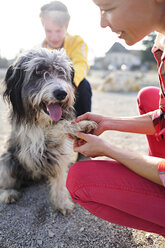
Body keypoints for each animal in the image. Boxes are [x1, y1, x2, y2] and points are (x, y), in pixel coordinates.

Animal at [0, 48, 96, 215]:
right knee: (8, 178)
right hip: (7, 160)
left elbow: (59, 177)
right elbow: (58, 126)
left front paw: (62, 202)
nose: (61, 93)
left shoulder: (58, 151)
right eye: (38, 72)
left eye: (61, 72)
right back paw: (9, 192)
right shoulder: (33, 139)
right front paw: (80, 125)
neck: (41, 119)